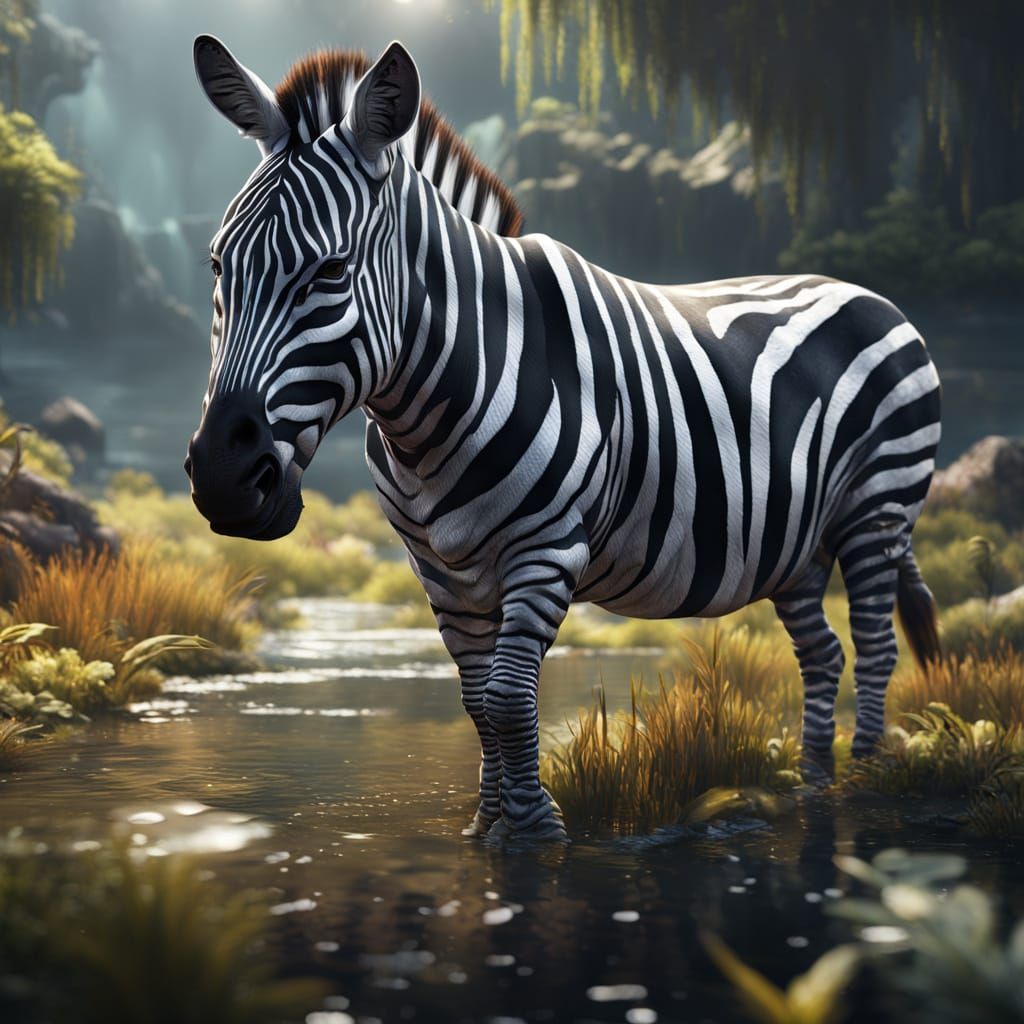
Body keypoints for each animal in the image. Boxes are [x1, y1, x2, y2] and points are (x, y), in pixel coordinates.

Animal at [186, 36, 942, 840]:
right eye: (218, 263)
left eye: (330, 271)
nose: (222, 475)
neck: (430, 416)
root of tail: (871, 295)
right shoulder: (439, 570)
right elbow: (477, 703)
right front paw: (486, 828)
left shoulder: (546, 550)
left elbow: (510, 701)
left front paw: (535, 834)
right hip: (797, 542)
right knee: (823, 652)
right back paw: (813, 783)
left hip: (877, 507)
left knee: (876, 647)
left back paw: (863, 780)